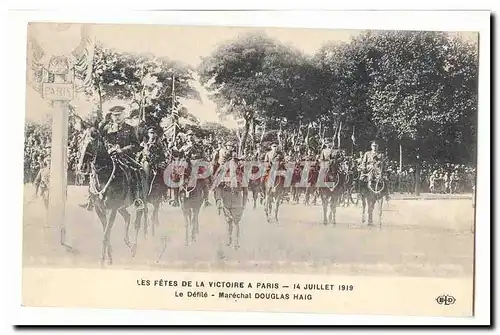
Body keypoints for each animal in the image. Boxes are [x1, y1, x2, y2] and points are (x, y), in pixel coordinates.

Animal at [76, 126, 148, 266]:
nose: (81, 166)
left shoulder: (112, 210)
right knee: (127, 217)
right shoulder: (99, 209)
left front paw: (102, 260)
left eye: (92, 141)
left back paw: (134, 248)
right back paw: (128, 243)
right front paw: (109, 257)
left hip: (140, 203)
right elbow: (106, 232)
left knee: (137, 222)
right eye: (80, 141)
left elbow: (105, 234)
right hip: (122, 207)